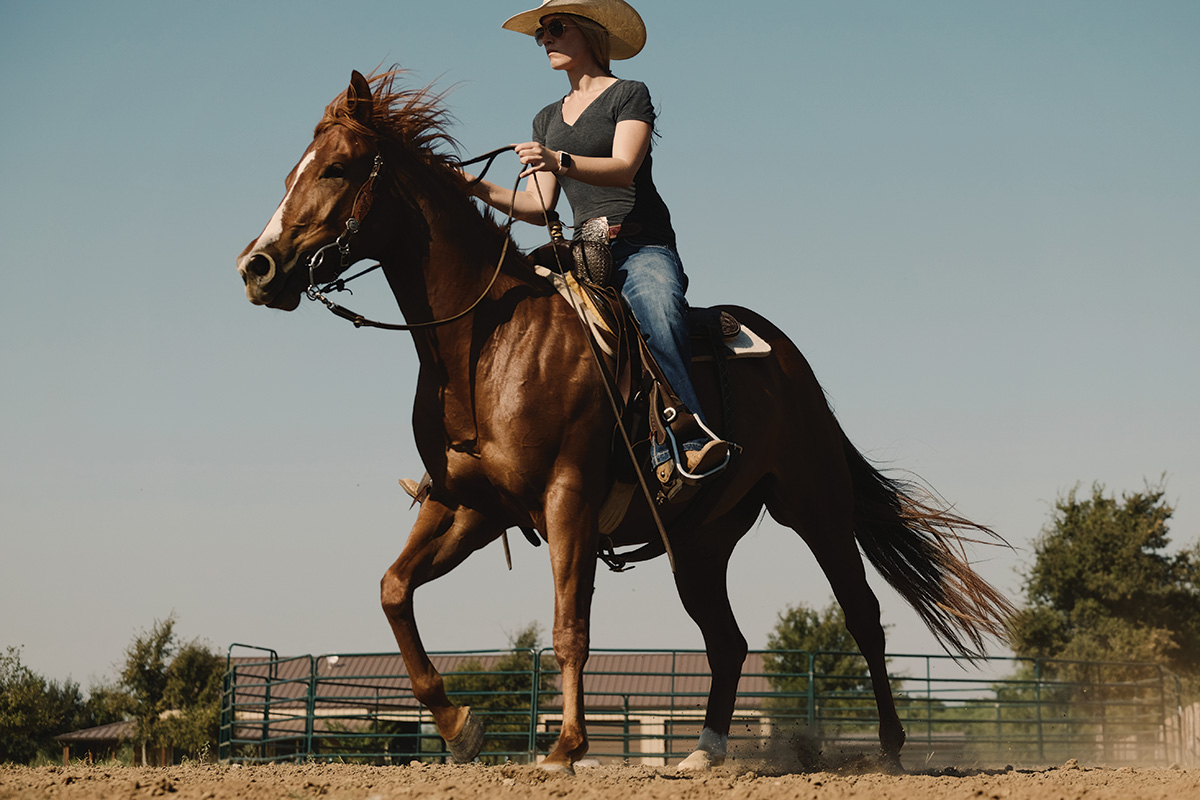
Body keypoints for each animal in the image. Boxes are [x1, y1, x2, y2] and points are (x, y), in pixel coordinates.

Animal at [234, 71, 1012, 772]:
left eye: (335, 168)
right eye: (291, 170)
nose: (257, 267)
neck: (488, 343)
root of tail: (791, 362)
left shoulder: (567, 497)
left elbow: (569, 626)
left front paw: (565, 749)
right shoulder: (468, 505)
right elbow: (394, 590)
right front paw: (461, 728)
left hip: (814, 503)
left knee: (863, 616)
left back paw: (891, 749)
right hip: (699, 539)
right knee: (727, 641)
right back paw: (702, 753)